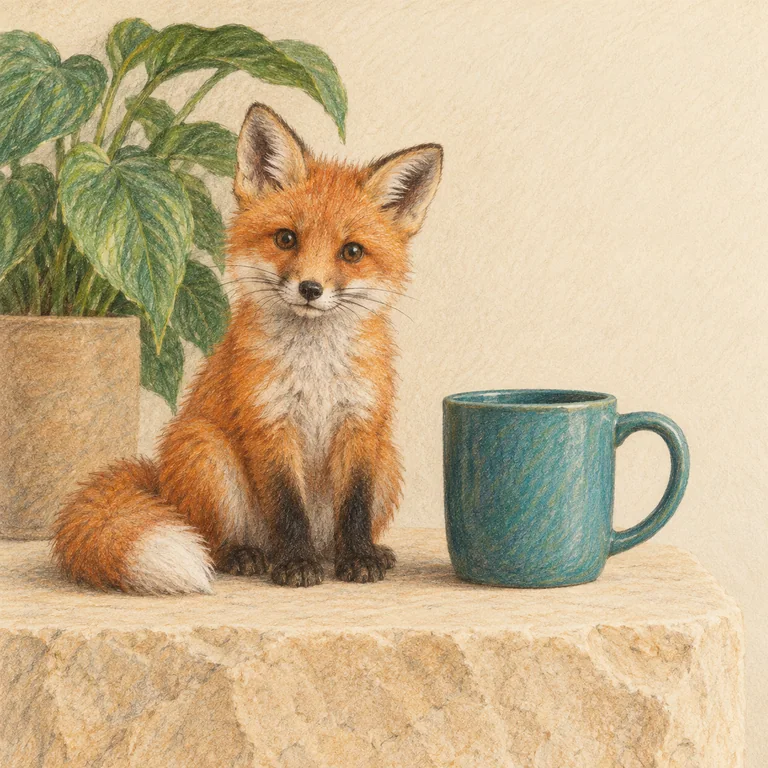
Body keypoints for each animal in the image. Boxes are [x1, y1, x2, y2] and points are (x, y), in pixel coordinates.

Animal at [52, 103, 443, 595]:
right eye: (286, 239)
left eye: (352, 252)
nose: (310, 289)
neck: (314, 368)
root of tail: (160, 482)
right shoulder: (267, 422)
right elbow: (287, 507)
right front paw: (296, 564)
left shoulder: (360, 424)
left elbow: (354, 507)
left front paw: (358, 558)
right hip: (205, 450)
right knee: (212, 539)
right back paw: (248, 555)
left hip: (388, 459)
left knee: (332, 535)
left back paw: (355, 552)